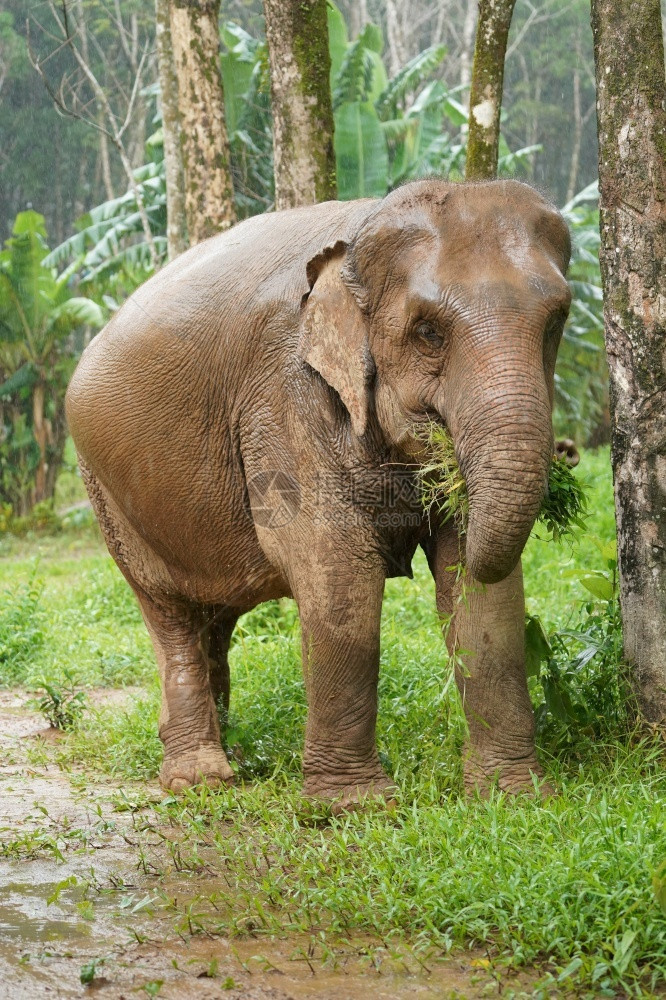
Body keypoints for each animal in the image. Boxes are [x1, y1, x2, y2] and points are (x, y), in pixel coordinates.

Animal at [68, 178, 576, 804]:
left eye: (556, 323)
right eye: (428, 332)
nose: (568, 453)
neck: (363, 232)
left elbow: (480, 587)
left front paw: (514, 796)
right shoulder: (285, 397)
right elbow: (338, 570)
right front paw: (355, 807)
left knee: (214, 618)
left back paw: (230, 753)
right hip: (109, 498)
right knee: (169, 613)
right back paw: (201, 779)